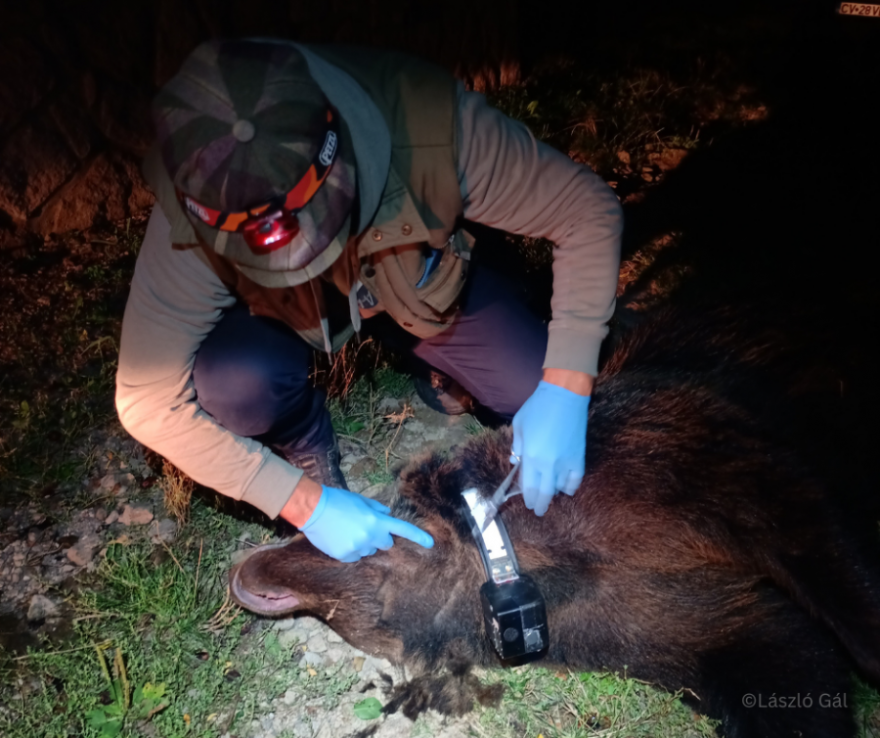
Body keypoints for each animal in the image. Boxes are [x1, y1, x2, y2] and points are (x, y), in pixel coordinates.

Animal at [229, 304, 880, 736]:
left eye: (368, 541)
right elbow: (791, 662)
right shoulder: (675, 625)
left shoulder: (720, 468)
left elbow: (837, 583)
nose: (246, 565)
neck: (510, 554)